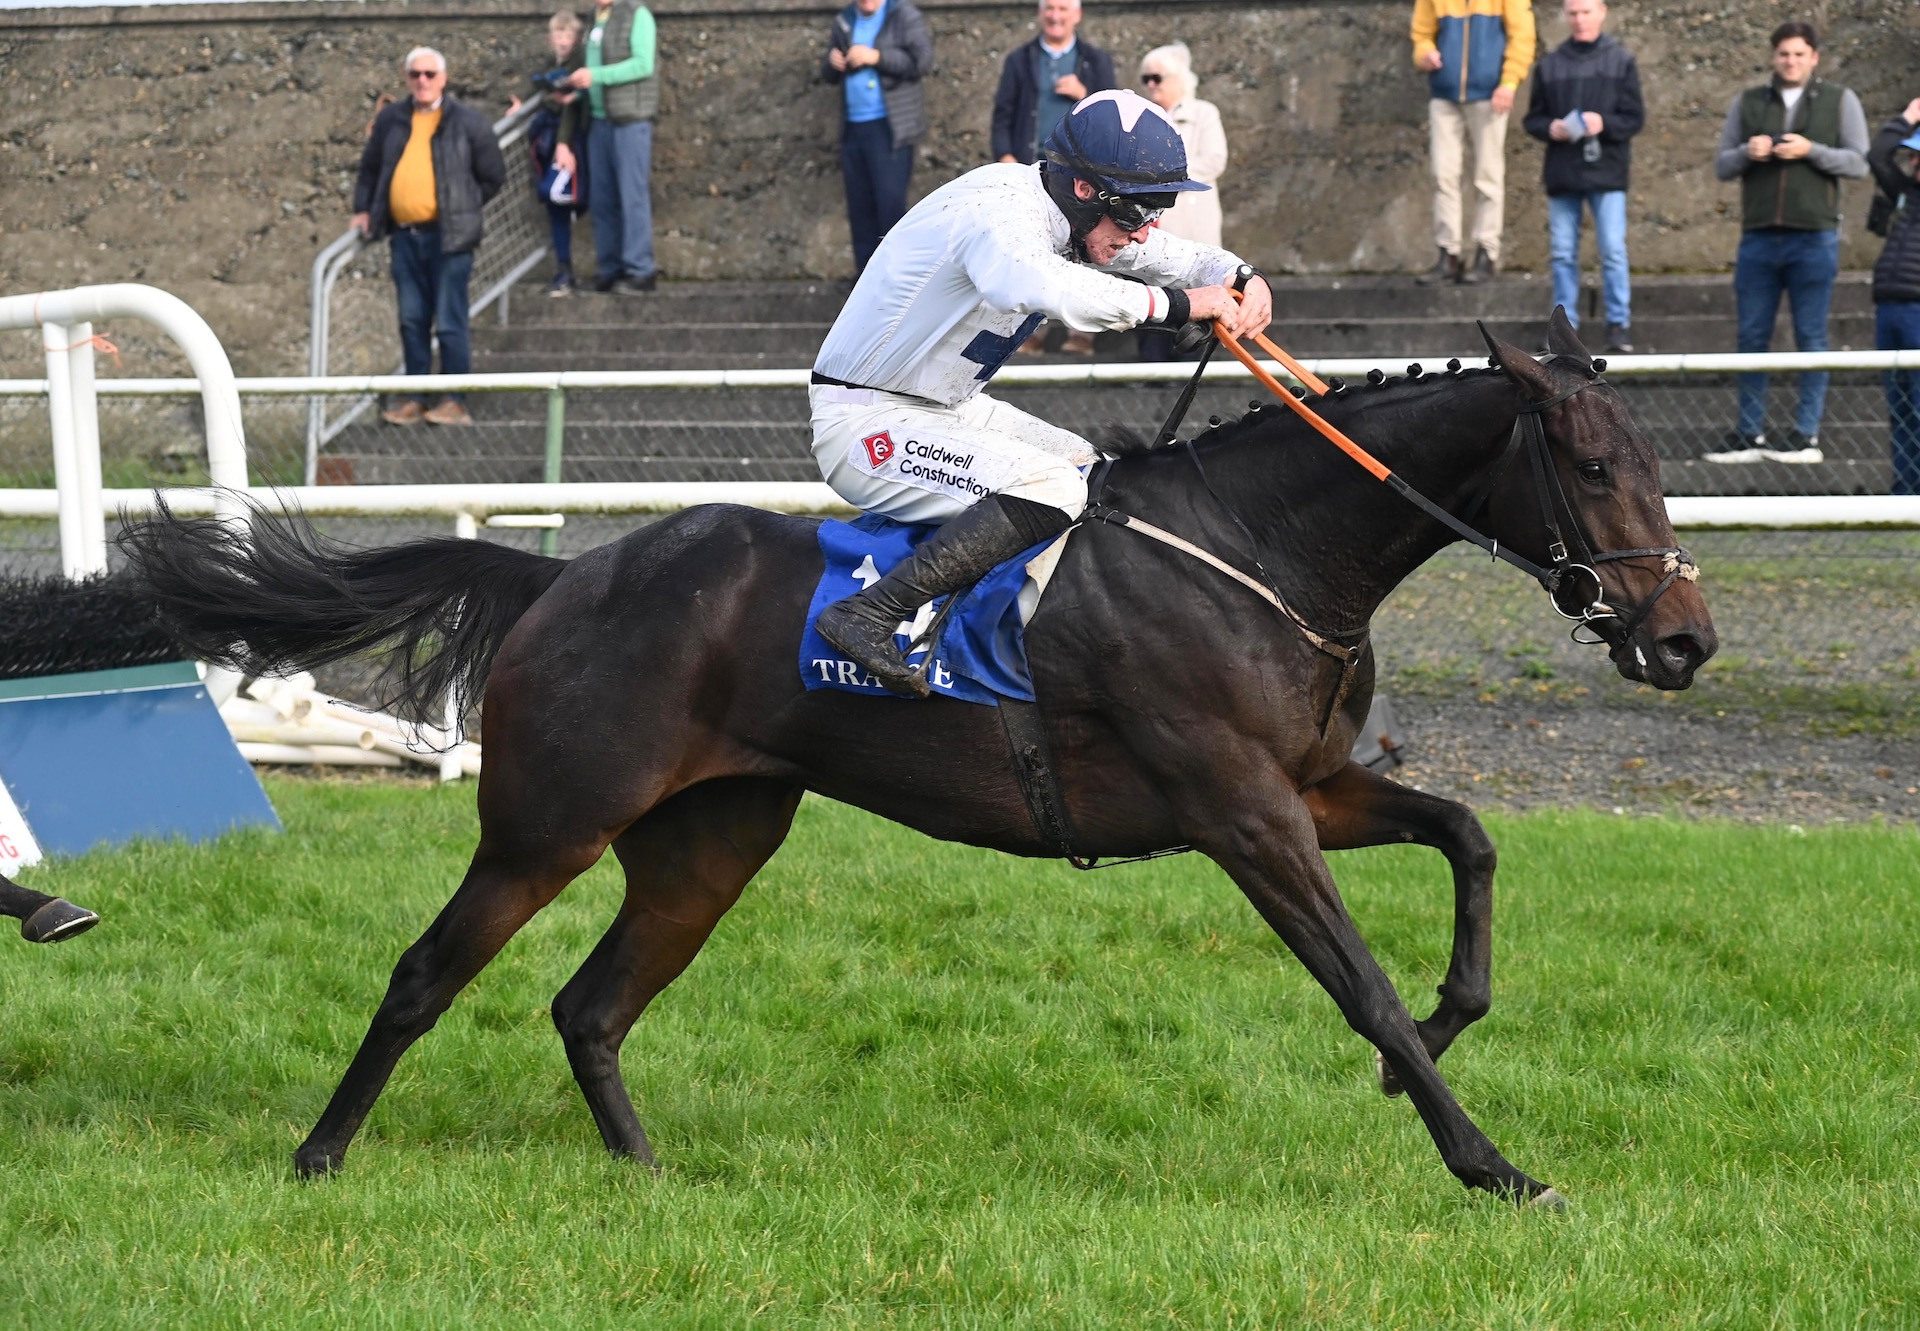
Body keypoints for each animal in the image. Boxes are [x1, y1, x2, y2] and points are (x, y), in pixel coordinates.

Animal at [127, 314, 1728, 1206]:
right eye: (1595, 467)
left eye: (1660, 465)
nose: (1684, 637)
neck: (1264, 551)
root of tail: (567, 576)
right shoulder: (1241, 811)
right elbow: (1367, 989)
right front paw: (1493, 1164)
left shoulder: (1311, 791)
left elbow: (1467, 838)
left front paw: (1448, 1040)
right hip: (547, 823)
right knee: (424, 974)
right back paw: (317, 1158)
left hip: (714, 837)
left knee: (591, 1004)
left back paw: (647, 1173)